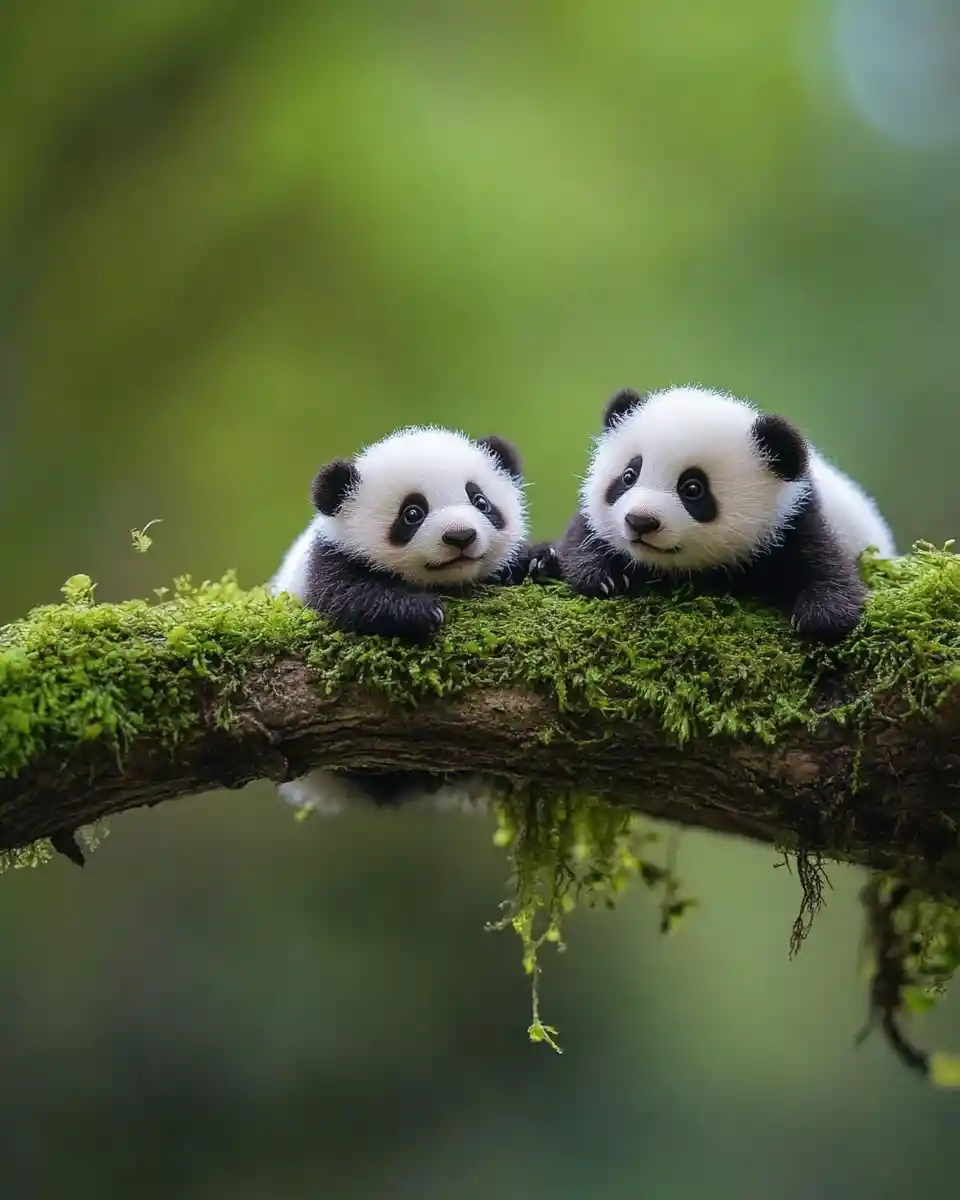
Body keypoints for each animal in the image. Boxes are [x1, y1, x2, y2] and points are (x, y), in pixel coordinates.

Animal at [271, 424, 530, 814]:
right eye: (412, 513)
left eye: (481, 502)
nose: (461, 536)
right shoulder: (328, 561)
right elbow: (349, 597)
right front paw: (420, 611)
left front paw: (537, 560)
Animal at [530, 385, 895, 643]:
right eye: (628, 476)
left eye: (693, 489)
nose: (640, 522)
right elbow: (582, 537)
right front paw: (600, 575)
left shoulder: (794, 519)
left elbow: (825, 563)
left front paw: (822, 615)